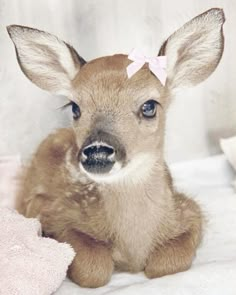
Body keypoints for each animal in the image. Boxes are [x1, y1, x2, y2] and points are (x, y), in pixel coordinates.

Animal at [7, 7, 225, 290]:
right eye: (75, 108)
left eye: (149, 106)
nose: (98, 151)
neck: (133, 247)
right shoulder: (52, 210)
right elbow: (94, 269)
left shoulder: (189, 209)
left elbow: (168, 263)